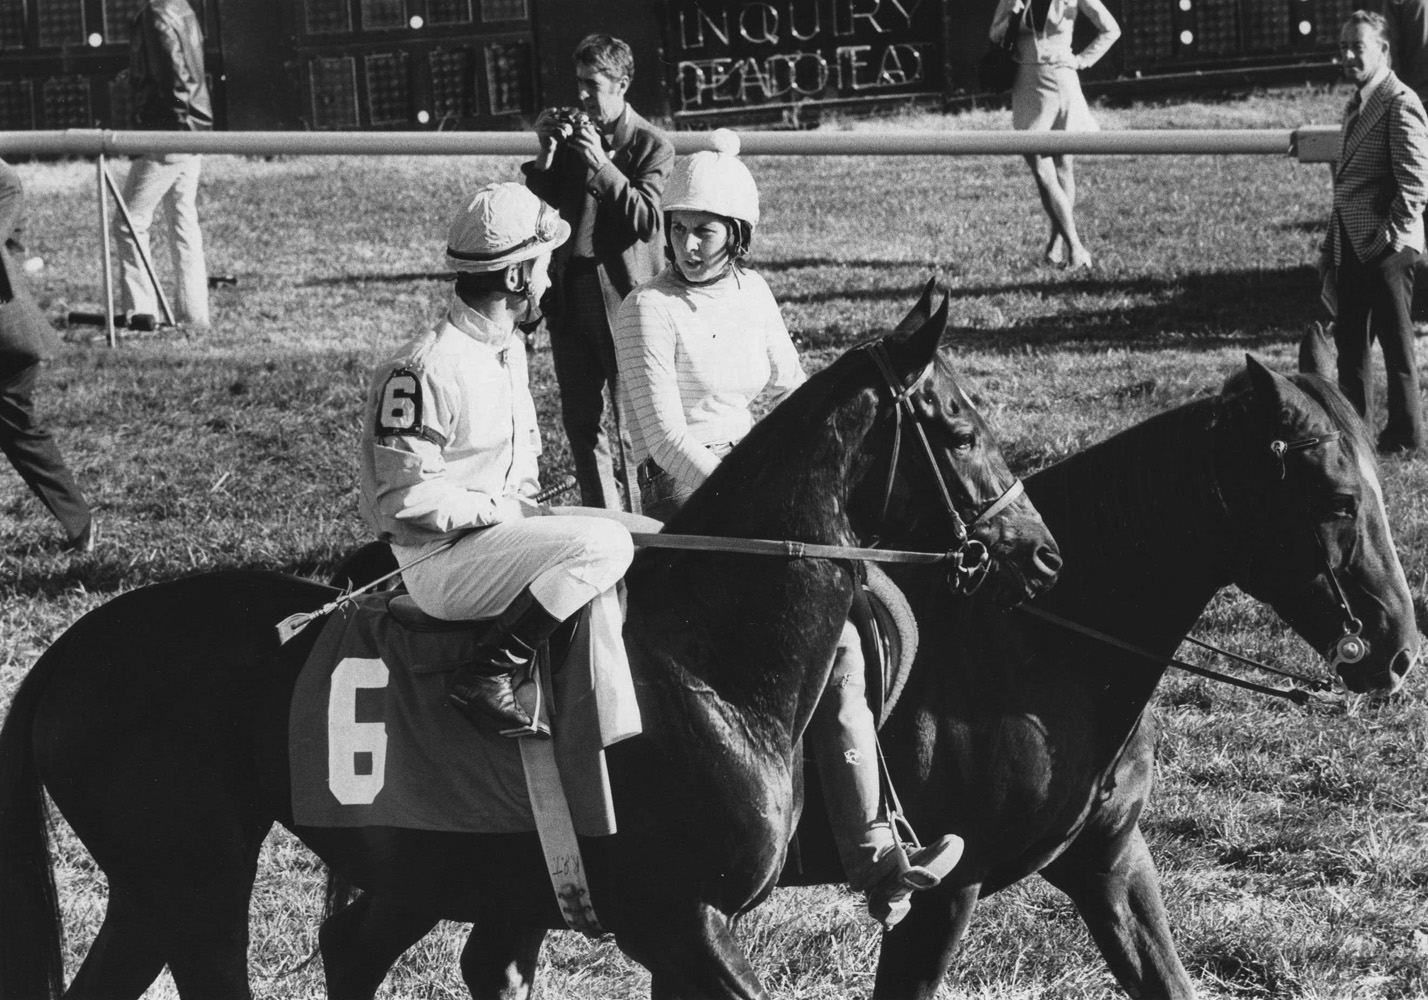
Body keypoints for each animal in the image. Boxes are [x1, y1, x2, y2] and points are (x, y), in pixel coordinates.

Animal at [0, 292, 1062, 1000]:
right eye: (960, 428)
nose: (1041, 554)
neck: (704, 669)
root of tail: (67, 653)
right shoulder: (673, 921)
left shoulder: (553, 905)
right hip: (198, 879)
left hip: (187, 888)